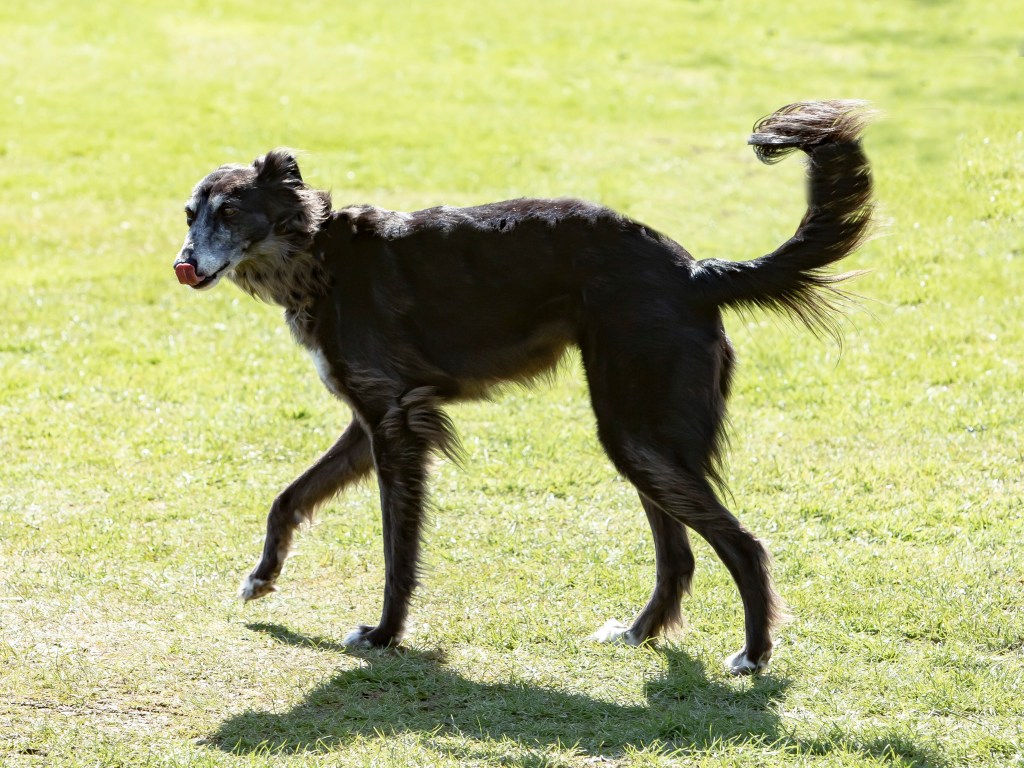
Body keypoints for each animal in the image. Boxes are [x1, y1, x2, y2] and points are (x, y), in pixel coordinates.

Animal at [169, 100, 872, 671]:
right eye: (189, 214)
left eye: (230, 213)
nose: (183, 265)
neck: (320, 255)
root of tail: (694, 272)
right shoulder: (371, 420)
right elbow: (288, 498)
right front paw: (262, 577)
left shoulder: (396, 422)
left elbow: (398, 551)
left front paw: (386, 635)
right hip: (645, 440)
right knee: (680, 556)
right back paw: (640, 633)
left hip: (636, 431)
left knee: (744, 546)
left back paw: (754, 654)